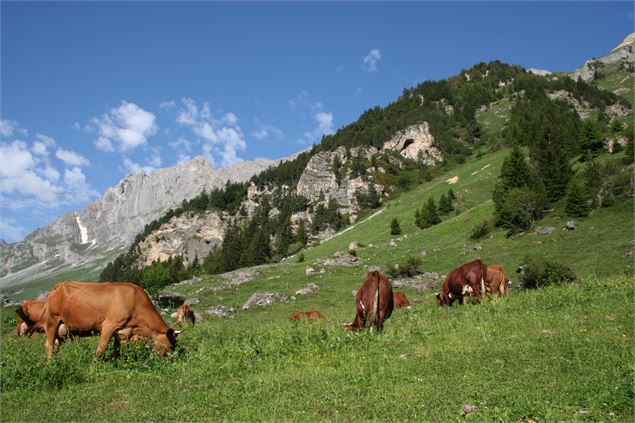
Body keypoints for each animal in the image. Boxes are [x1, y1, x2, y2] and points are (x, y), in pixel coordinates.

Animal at [41, 282, 181, 362]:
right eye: (167, 345)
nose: (161, 362)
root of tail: (59, 285)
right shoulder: (109, 325)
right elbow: (101, 348)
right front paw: (95, 365)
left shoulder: (122, 331)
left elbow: (116, 350)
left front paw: (115, 362)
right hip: (52, 320)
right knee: (49, 345)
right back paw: (50, 364)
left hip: (62, 329)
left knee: (57, 344)